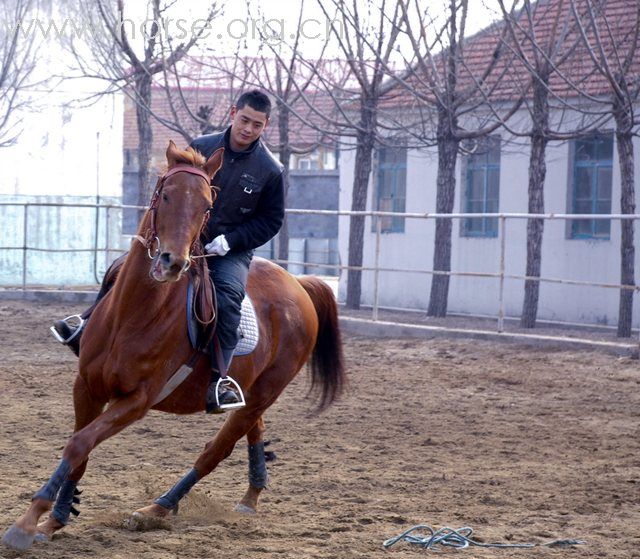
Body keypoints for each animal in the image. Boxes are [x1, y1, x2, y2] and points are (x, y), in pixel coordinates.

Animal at [3, 140, 344, 552]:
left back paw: (158, 508)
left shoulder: (136, 402)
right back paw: (249, 497)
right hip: (251, 393)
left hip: (266, 391)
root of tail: (298, 284)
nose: (172, 262)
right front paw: (57, 517)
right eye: (165, 194)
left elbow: (78, 445)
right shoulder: (85, 387)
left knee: (217, 449)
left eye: (207, 206)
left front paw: (27, 522)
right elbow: (79, 451)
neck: (134, 314)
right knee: (253, 429)